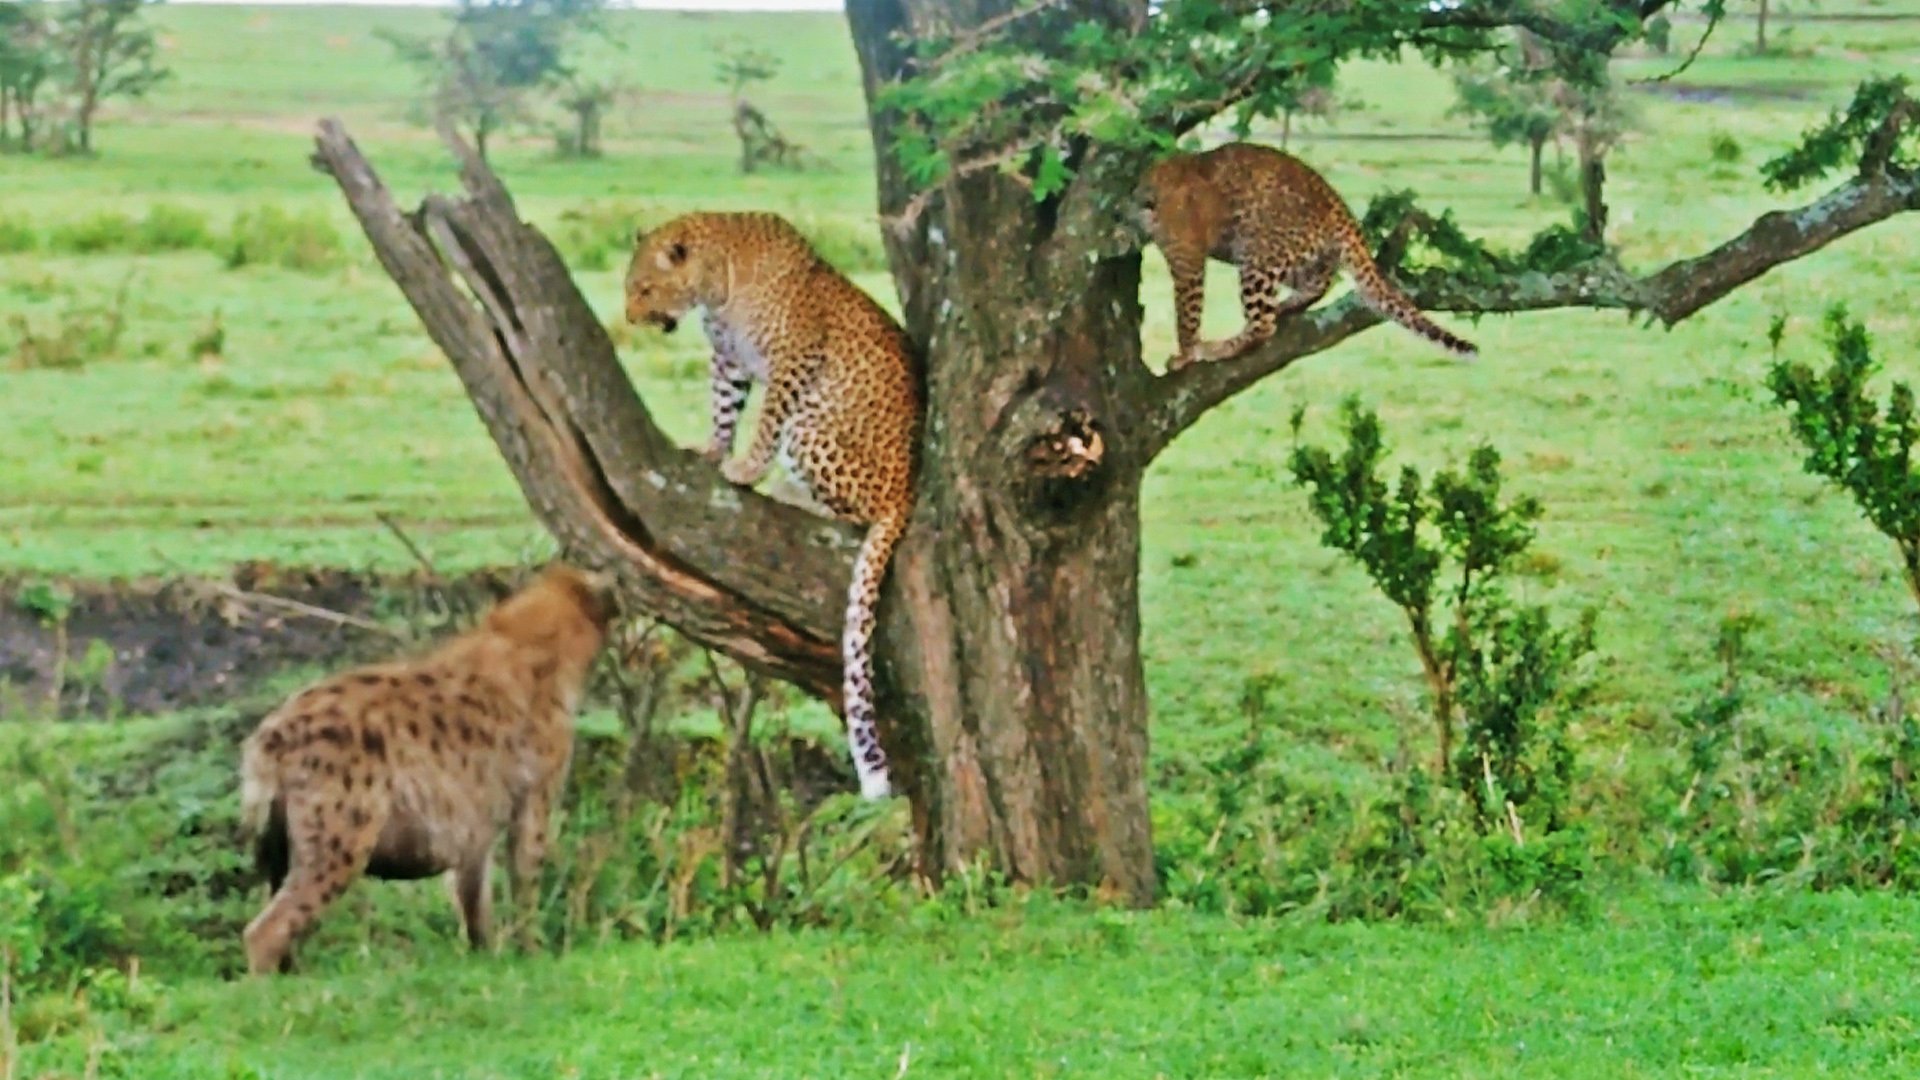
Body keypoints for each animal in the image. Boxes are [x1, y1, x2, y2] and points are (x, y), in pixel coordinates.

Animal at [237, 563, 615, 975]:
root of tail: (269, 736)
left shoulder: (474, 824)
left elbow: (474, 902)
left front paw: (485, 960)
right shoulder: (535, 794)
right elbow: (525, 881)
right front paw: (533, 957)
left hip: (281, 843)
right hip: (340, 838)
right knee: (267, 929)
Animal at [624, 211, 920, 802]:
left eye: (644, 288)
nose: (628, 317)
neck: (716, 285)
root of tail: (907, 491)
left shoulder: (792, 360)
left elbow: (764, 420)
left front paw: (745, 469)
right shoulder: (728, 360)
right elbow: (723, 408)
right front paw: (712, 449)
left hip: (812, 425)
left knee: (852, 510)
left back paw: (800, 499)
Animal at [1137, 140, 1478, 370]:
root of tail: (1336, 202)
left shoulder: (1188, 261)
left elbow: (1187, 315)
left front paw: (1185, 354)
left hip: (1258, 252)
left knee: (1263, 326)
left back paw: (1218, 348)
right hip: (1294, 254)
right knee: (1318, 284)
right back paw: (1286, 306)